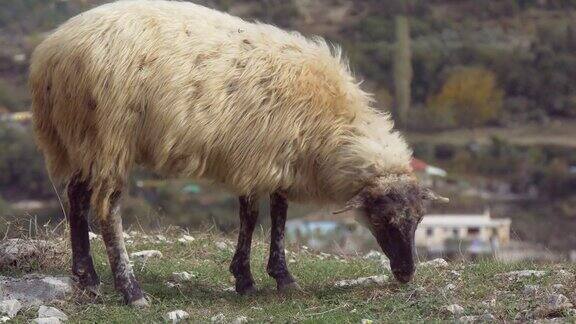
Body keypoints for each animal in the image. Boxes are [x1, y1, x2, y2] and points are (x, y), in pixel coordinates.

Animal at [30, 0, 446, 306]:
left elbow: (278, 213)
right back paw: (130, 290)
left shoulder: (279, 158)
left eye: (419, 220)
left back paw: (87, 278)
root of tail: (51, 53)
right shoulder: (256, 157)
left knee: (76, 198)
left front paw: (280, 277)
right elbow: (252, 216)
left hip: (79, 137)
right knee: (107, 211)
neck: (333, 125)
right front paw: (246, 279)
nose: (406, 273)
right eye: (381, 219)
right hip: (110, 137)